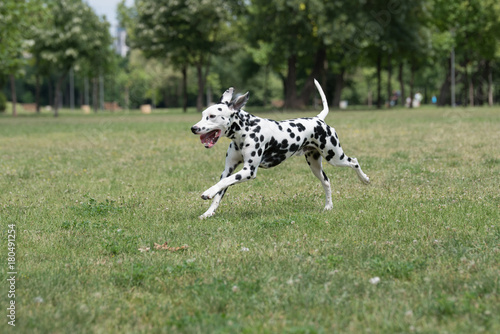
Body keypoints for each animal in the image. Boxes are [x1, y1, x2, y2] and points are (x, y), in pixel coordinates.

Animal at [191, 78, 372, 219]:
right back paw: (328, 206)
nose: (193, 128)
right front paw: (208, 213)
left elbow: (222, 184)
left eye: (212, 116)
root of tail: (318, 119)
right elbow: (220, 189)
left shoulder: (248, 171)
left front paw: (207, 192)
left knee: (354, 161)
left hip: (335, 157)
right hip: (315, 166)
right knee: (327, 182)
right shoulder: (228, 169)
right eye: (203, 115)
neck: (246, 129)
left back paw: (364, 179)